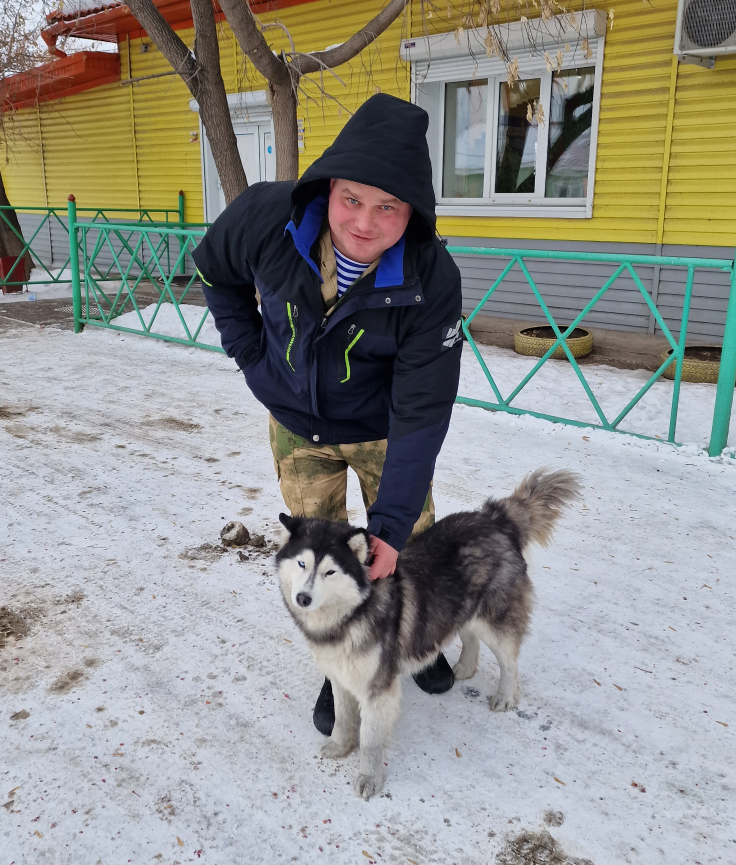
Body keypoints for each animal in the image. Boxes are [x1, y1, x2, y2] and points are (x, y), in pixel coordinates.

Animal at [276, 470, 580, 800]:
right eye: (302, 563)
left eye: (330, 572)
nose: (302, 598)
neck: (351, 614)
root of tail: (494, 517)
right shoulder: (341, 677)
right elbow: (343, 719)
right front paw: (340, 746)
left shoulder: (378, 688)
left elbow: (370, 738)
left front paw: (369, 776)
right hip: (462, 608)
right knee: (468, 634)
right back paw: (465, 668)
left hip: (495, 621)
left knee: (509, 661)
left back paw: (505, 696)